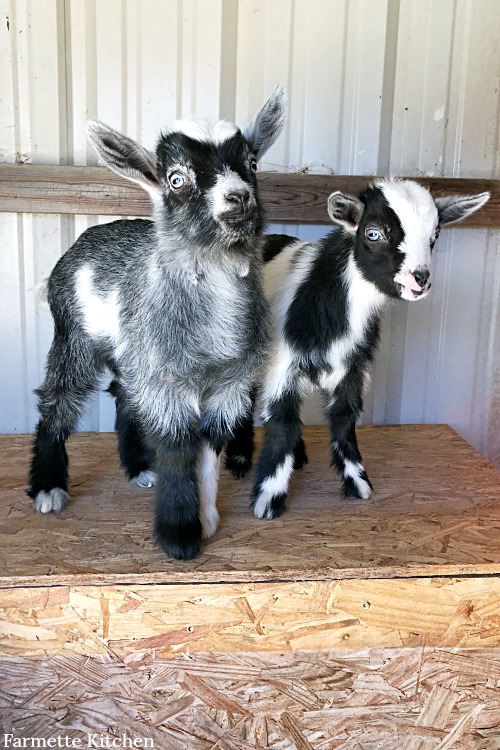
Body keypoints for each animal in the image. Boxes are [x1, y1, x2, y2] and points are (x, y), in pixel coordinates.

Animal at [27, 86, 286, 560]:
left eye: (253, 163)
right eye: (176, 179)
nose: (239, 197)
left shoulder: (228, 382)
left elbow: (208, 447)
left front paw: (208, 519)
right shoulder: (168, 382)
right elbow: (177, 445)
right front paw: (179, 535)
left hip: (132, 351)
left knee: (123, 395)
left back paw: (138, 468)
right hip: (74, 337)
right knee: (58, 400)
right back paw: (48, 488)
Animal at [226, 179, 488, 520]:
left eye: (435, 236)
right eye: (373, 233)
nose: (420, 279)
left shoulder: (352, 370)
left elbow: (344, 421)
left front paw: (357, 483)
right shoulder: (282, 366)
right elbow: (282, 424)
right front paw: (268, 500)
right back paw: (240, 459)